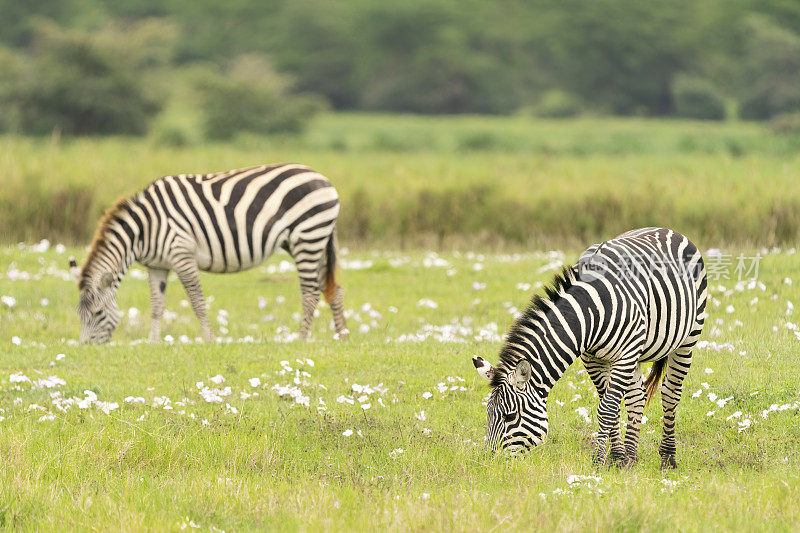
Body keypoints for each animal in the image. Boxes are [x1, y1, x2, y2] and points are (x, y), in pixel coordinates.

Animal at [66, 162, 346, 342]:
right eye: (79, 315)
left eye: (98, 313)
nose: (87, 347)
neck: (144, 229)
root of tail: (324, 179)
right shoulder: (157, 265)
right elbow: (156, 305)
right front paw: (153, 343)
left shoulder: (181, 254)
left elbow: (197, 301)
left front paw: (209, 339)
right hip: (311, 240)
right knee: (332, 288)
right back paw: (342, 336)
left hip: (307, 237)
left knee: (310, 293)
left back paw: (301, 339)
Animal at [472, 227, 708, 468]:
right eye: (488, 414)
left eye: (509, 417)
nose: (490, 462)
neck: (592, 311)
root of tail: (665, 230)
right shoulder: (592, 358)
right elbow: (611, 407)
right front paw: (618, 458)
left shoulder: (625, 354)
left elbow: (607, 409)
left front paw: (599, 460)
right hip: (636, 352)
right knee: (637, 397)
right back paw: (632, 457)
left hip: (687, 337)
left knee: (670, 394)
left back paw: (668, 458)